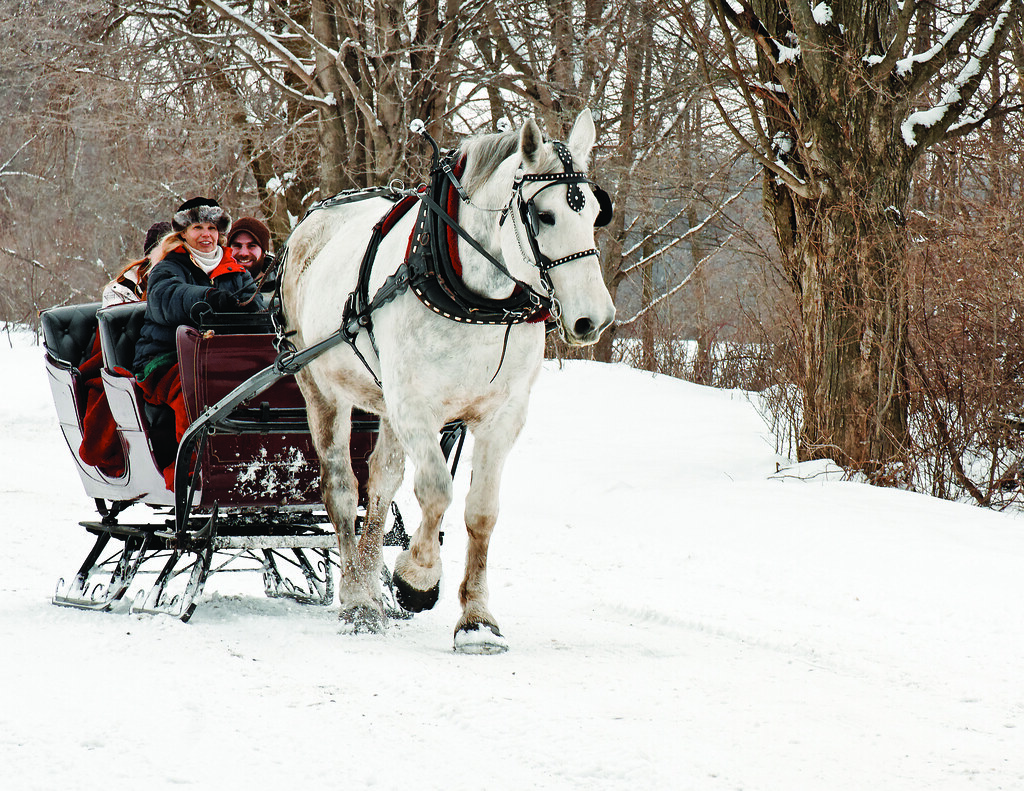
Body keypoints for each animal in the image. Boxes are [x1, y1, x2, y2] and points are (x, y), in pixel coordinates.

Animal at [280, 108, 610, 651]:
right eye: (545, 216)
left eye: (596, 212)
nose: (595, 319)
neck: (476, 301)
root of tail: (309, 225)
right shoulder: (417, 407)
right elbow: (436, 490)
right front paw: (416, 578)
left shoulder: (502, 417)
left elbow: (481, 510)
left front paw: (476, 618)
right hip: (321, 388)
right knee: (343, 489)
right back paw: (357, 599)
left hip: (385, 401)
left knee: (381, 483)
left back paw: (370, 587)